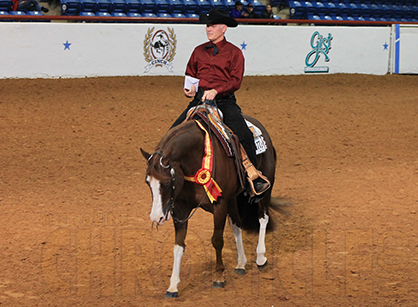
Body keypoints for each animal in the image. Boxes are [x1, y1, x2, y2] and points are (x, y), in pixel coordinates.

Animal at [140, 110, 278, 298]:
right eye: (148, 182)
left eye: (167, 183)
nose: (156, 217)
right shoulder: (181, 209)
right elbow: (178, 245)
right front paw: (173, 286)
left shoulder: (219, 205)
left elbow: (217, 240)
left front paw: (219, 278)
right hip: (232, 199)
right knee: (237, 225)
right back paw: (241, 264)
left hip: (265, 188)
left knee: (263, 218)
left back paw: (261, 258)